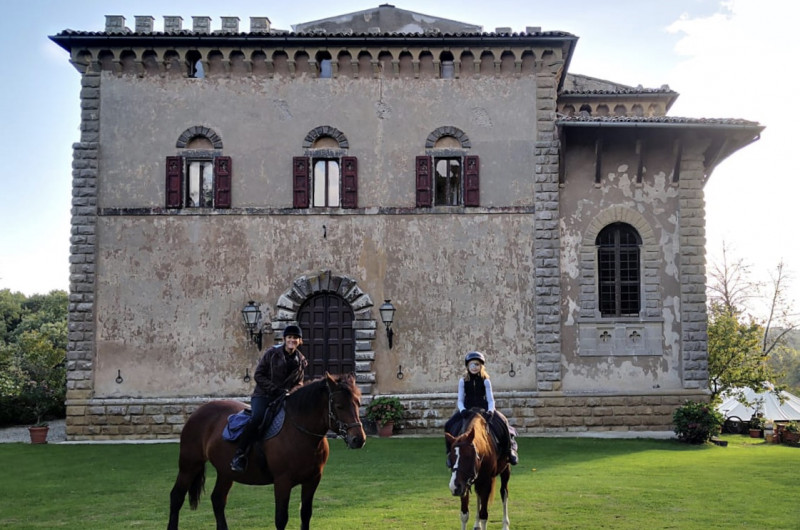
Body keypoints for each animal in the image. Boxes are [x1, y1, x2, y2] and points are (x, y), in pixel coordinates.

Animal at [170, 372, 368, 528]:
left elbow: (305, 514)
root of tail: (198, 412)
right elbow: (281, 518)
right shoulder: (282, 481)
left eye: (358, 403)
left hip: (225, 472)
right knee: (176, 497)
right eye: (339, 406)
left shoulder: (312, 480)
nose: (358, 439)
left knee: (218, 500)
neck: (299, 432)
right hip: (189, 465)